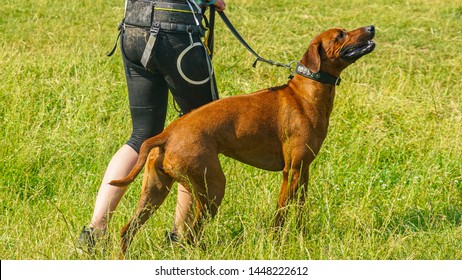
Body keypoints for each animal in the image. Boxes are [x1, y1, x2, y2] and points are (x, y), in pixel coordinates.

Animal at [112, 25, 376, 254]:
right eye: (340, 35)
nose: (371, 28)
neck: (306, 93)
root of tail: (166, 134)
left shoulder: (304, 171)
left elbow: (299, 210)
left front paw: (301, 237)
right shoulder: (291, 171)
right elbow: (281, 212)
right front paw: (277, 242)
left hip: (155, 191)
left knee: (128, 230)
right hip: (212, 187)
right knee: (192, 234)